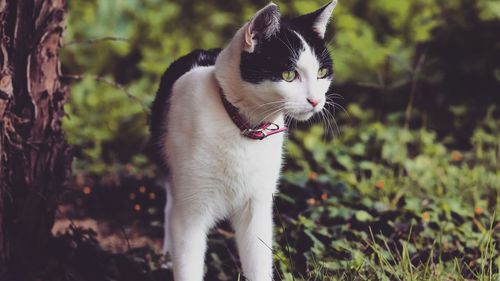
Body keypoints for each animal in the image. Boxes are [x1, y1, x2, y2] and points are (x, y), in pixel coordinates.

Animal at [148, 1, 336, 278]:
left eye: (322, 72)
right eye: (289, 75)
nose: (315, 100)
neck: (243, 126)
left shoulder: (257, 209)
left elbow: (258, 263)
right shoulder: (190, 214)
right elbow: (188, 266)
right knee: (170, 209)